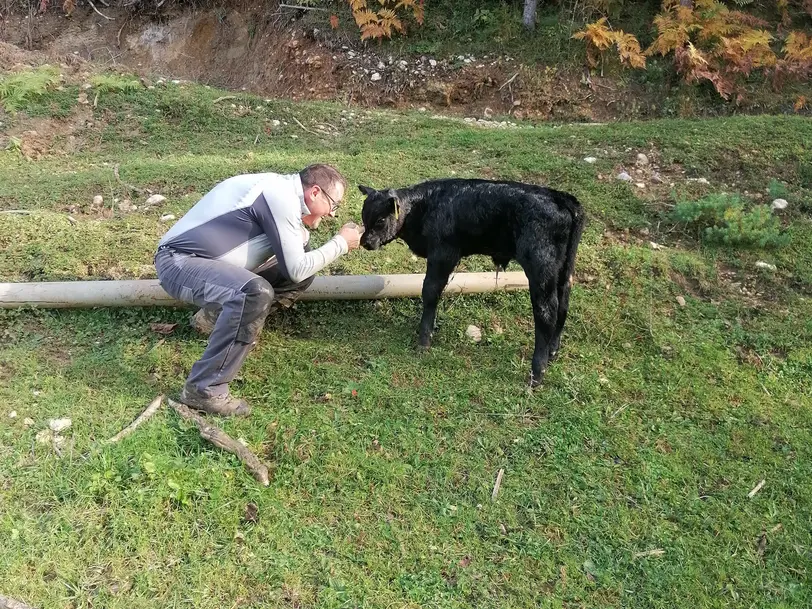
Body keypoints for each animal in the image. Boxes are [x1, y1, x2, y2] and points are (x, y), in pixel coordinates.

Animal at [360, 177, 584, 384]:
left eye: (380, 220)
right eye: (364, 217)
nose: (365, 242)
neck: (425, 206)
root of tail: (561, 198)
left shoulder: (443, 254)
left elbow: (430, 291)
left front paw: (424, 340)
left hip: (541, 268)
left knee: (546, 313)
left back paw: (536, 374)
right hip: (564, 271)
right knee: (563, 306)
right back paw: (552, 352)